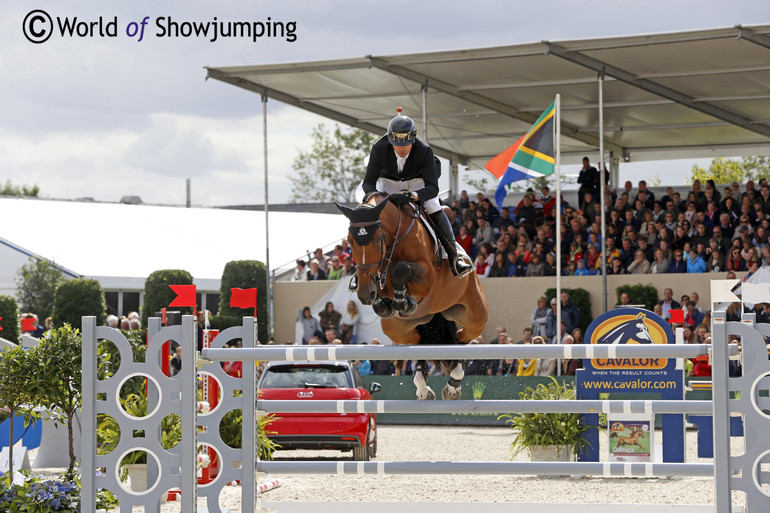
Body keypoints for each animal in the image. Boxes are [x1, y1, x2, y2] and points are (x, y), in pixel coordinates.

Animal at [334, 192, 486, 400]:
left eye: (377, 239)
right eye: (349, 241)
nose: (365, 293)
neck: (395, 238)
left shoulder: (427, 277)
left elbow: (400, 268)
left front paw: (402, 299)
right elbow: (384, 282)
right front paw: (385, 303)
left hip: (475, 313)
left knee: (462, 337)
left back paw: (453, 385)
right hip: (397, 328)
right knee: (418, 342)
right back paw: (423, 387)